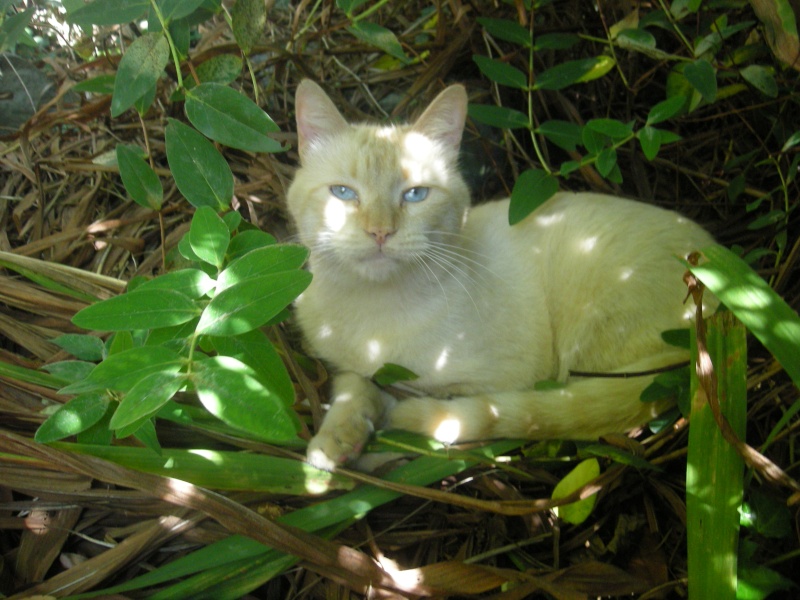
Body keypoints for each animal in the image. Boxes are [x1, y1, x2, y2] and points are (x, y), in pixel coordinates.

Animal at [286, 79, 712, 472]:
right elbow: (351, 388)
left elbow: (436, 426)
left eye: (415, 195)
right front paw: (334, 442)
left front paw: (374, 452)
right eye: (343, 193)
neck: (372, 312)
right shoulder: (344, 366)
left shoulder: (505, 379)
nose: (379, 232)